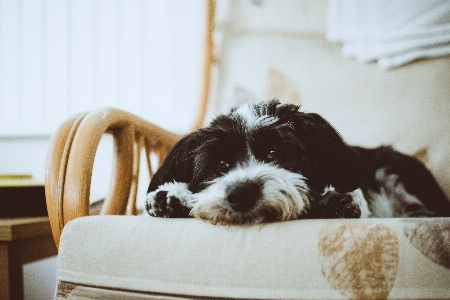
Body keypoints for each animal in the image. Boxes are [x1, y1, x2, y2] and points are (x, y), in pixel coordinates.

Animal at [145, 99, 450, 224]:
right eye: (220, 165)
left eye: (274, 153)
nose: (241, 193)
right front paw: (171, 196)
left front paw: (338, 200)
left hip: (397, 170)